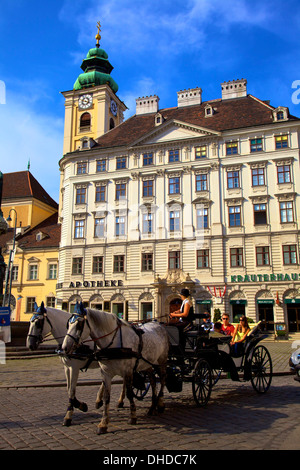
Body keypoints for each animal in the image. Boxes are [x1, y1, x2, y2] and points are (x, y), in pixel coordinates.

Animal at [61, 304, 169, 434]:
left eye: (79, 324)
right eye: (68, 324)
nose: (64, 348)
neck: (113, 342)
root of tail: (158, 324)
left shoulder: (127, 371)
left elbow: (129, 394)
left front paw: (133, 417)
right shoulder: (105, 373)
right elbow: (106, 396)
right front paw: (103, 423)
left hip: (161, 361)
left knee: (162, 379)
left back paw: (160, 403)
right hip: (147, 364)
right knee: (153, 381)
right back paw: (152, 407)